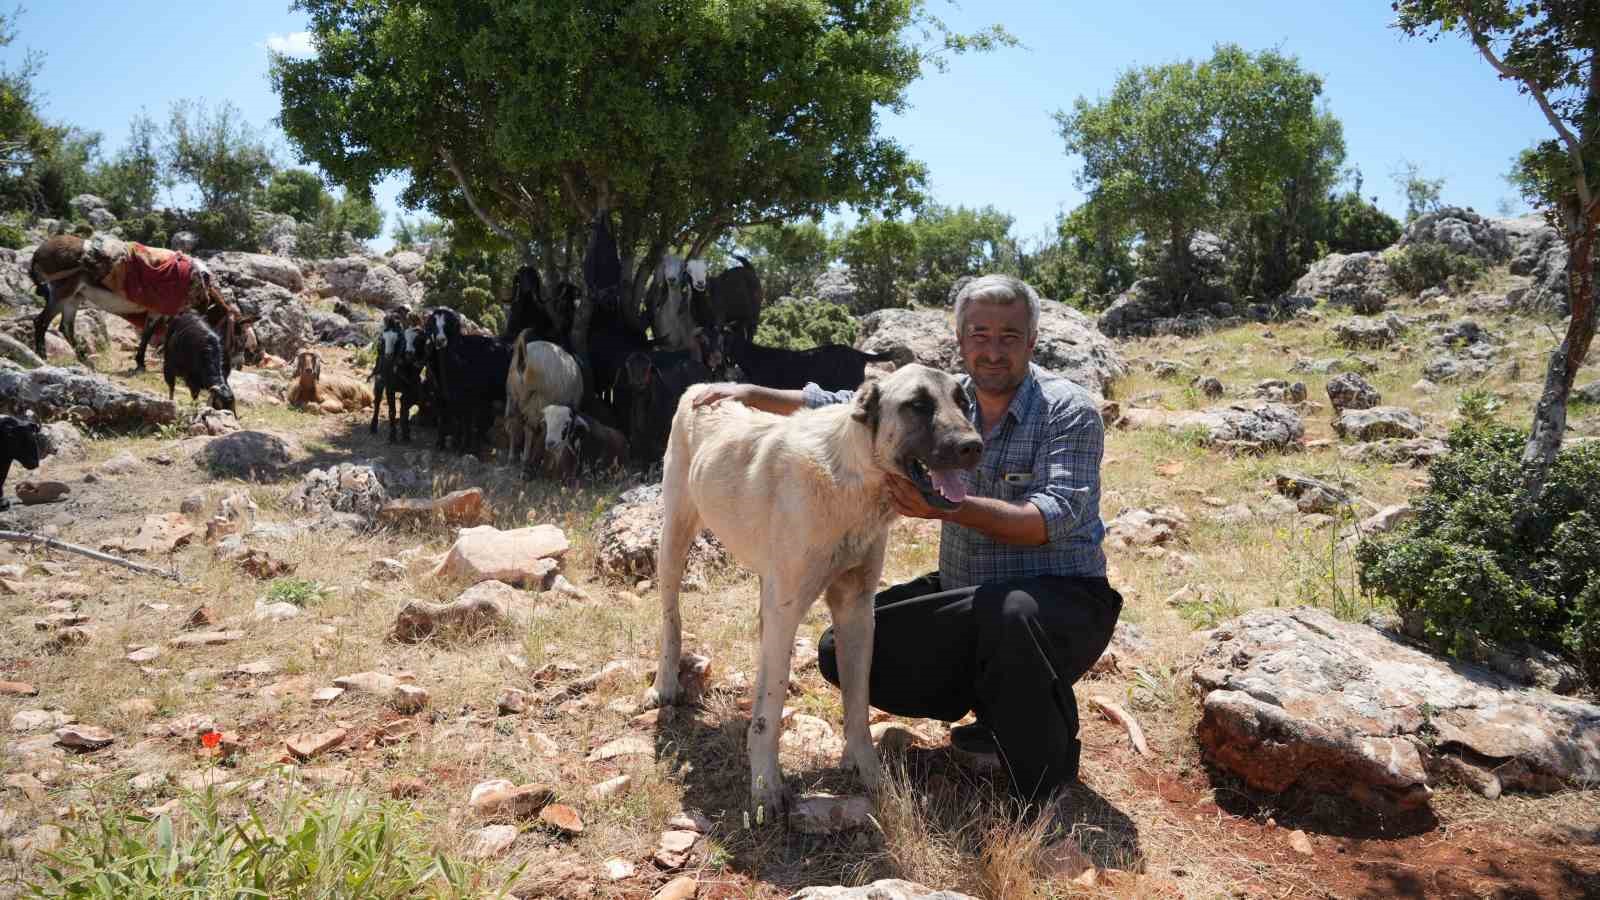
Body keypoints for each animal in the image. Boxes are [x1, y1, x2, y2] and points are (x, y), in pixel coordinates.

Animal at [643, 365, 979, 819]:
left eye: (963, 402)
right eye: (918, 405)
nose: (973, 446)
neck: (853, 481)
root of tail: (698, 386)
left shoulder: (856, 610)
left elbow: (857, 705)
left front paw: (870, 775)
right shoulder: (788, 608)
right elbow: (771, 706)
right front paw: (766, 787)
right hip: (674, 542)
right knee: (671, 620)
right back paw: (665, 684)